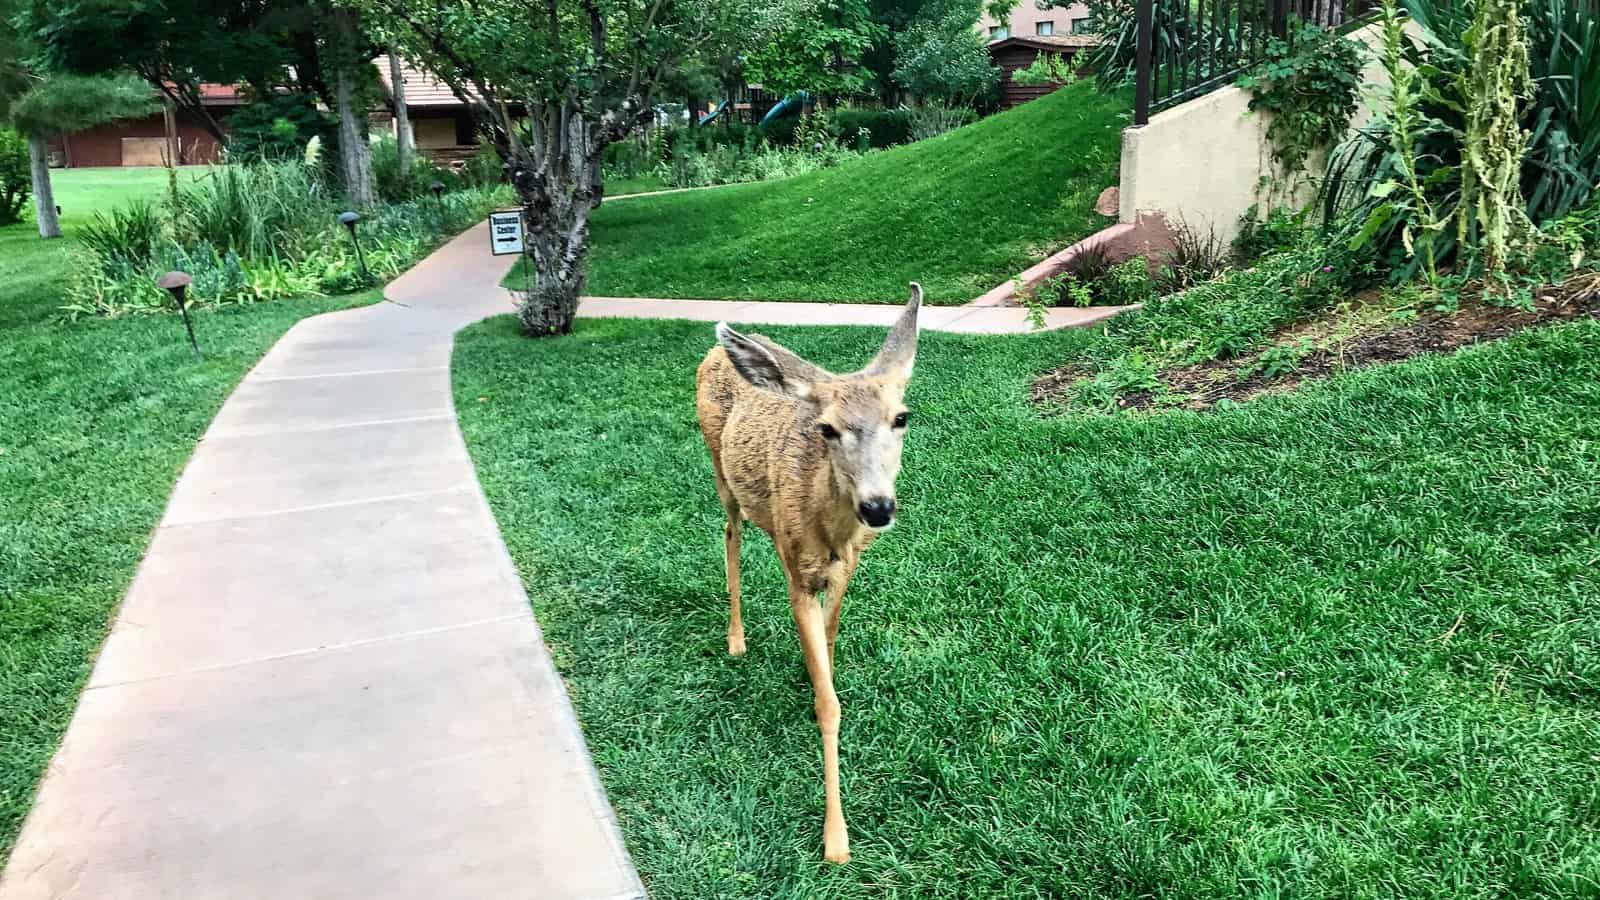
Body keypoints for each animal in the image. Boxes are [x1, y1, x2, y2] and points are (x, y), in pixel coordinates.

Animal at [691, 281, 928, 864]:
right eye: (827, 429)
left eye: (902, 417)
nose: (878, 507)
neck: (831, 531)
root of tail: (714, 354)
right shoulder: (797, 574)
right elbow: (829, 706)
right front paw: (835, 838)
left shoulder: (847, 569)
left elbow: (831, 635)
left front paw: (815, 666)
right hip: (718, 467)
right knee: (729, 533)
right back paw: (735, 639)